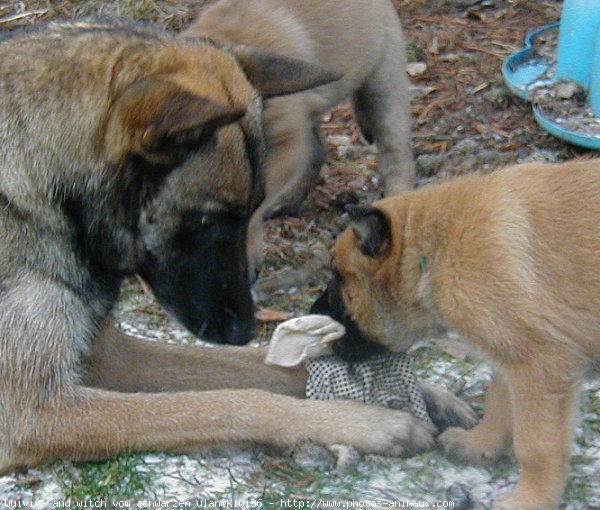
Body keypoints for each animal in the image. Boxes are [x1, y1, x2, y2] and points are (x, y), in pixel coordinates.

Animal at [184, 0, 418, 272]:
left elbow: (252, 208)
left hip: (382, 89)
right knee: (318, 149)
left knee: (397, 156)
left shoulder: (286, 146)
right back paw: (289, 201)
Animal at [322, 160, 600, 510]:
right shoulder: (511, 351)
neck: (433, 250)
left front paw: (530, 498)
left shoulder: (541, 364)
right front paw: (480, 444)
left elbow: (535, 445)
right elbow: (499, 401)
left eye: (338, 278)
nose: (311, 314)